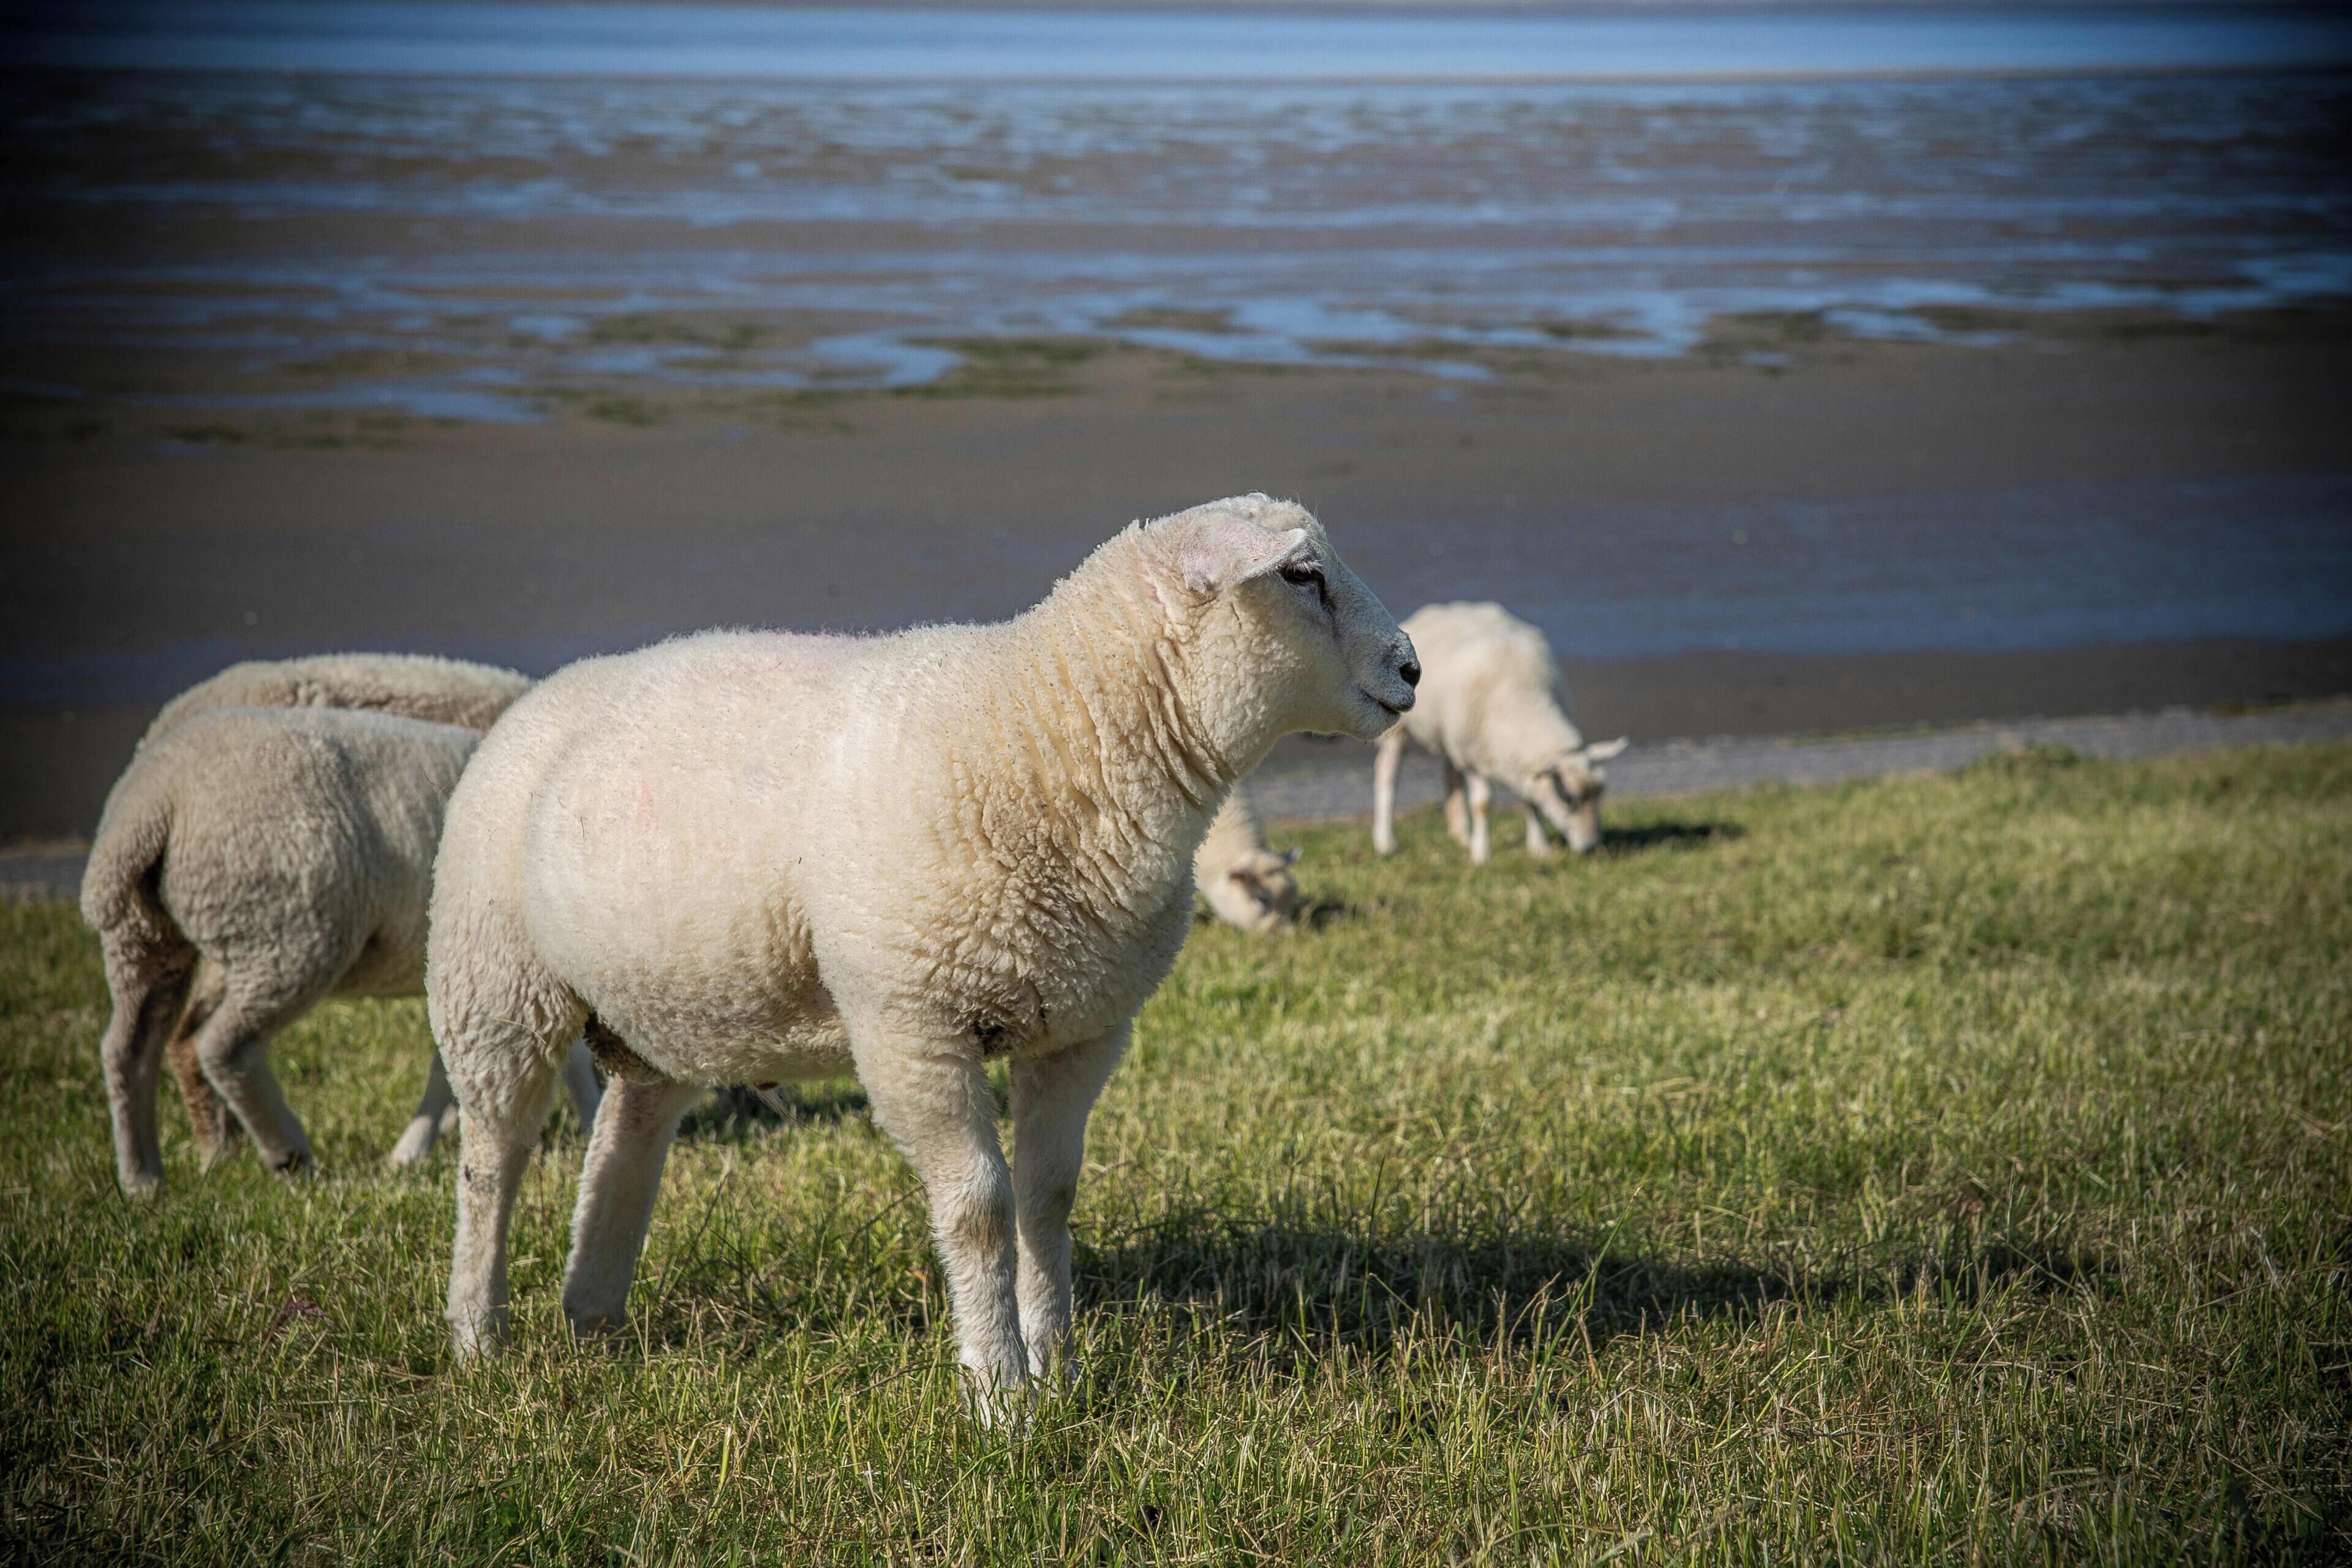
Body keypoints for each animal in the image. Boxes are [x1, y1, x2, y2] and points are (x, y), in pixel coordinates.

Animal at [82, 705, 601, 1194]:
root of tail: (155, 805)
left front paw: (417, 1148)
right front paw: (591, 1123)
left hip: (146, 936)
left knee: (130, 1048)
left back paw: (142, 1179)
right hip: (289, 932)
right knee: (225, 1046)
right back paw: (288, 1155)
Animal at [1371, 602, 1627, 864]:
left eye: (1599, 795)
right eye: (1569, 799)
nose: (1593, 847)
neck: (1523, 700)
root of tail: (1436, 610)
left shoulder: (1520, 764)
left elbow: (1532, 799)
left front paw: (1539, 848)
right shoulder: (1473, 757)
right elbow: (1482, 805)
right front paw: (1482, 854)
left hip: (1452, 733)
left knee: (1451, 773)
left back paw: (1461, 834)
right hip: (1403, 726)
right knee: (1388, 774)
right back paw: (1386, 842)